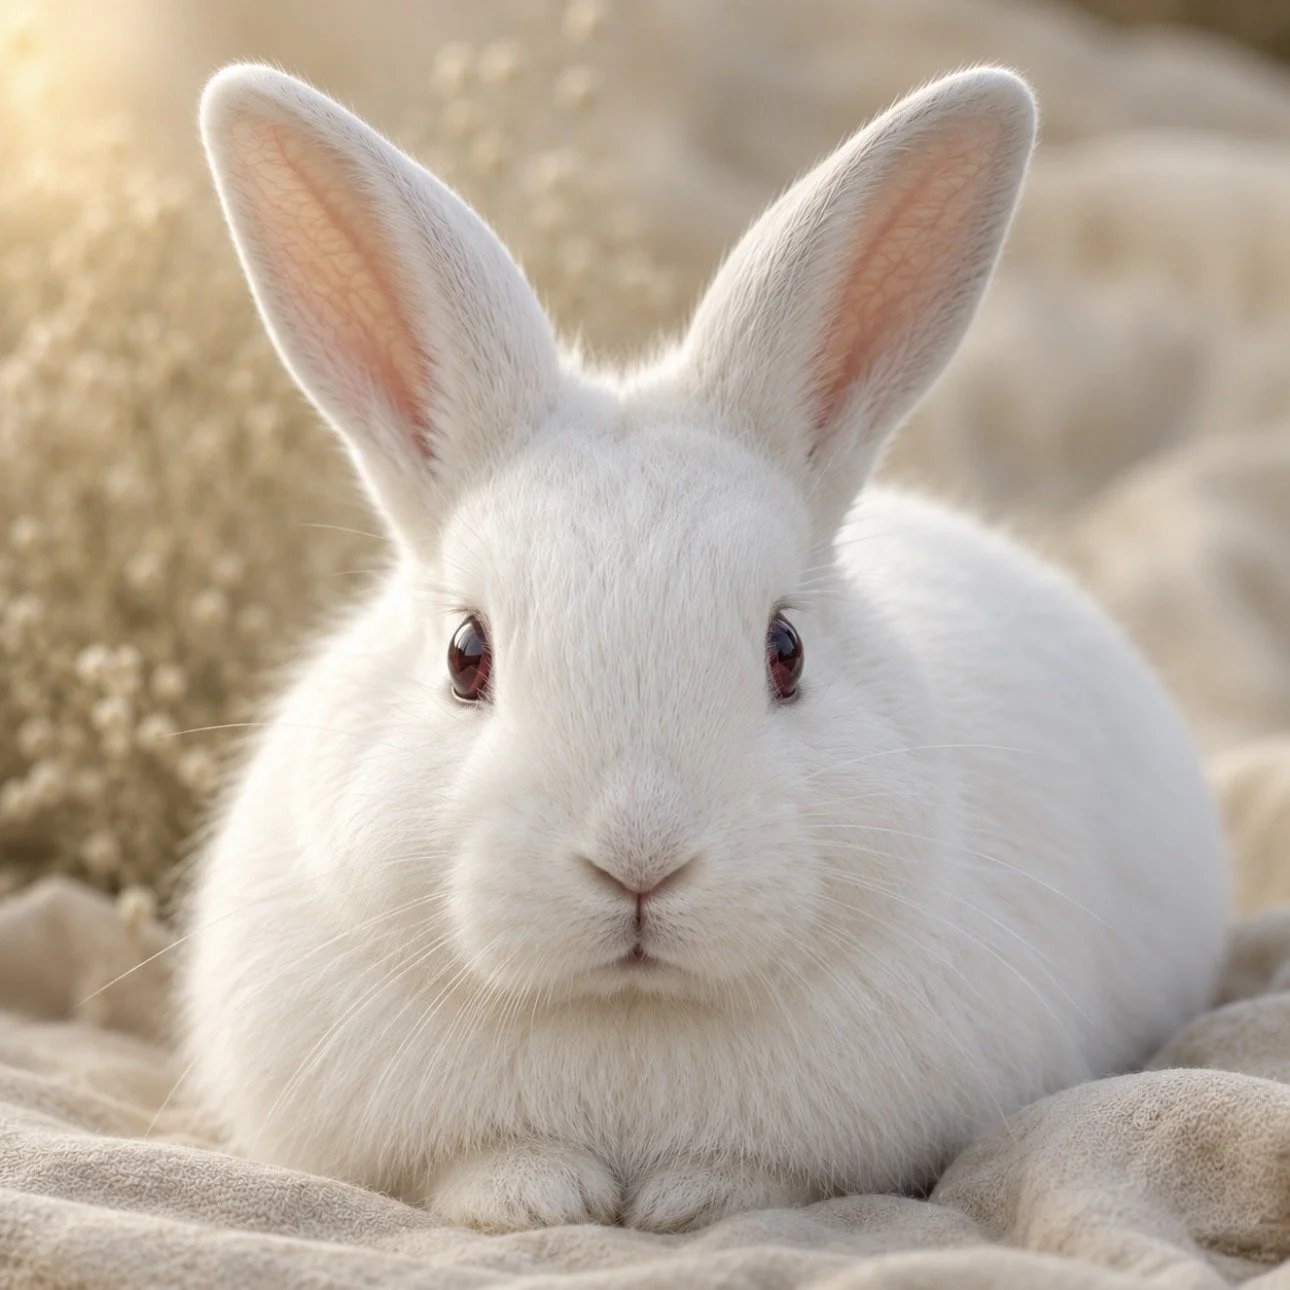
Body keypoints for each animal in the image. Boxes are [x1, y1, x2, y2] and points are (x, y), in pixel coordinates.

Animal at [181, 62, 1230, 1234]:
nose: (639, 859)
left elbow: (756, 1178)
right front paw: (535, 1197)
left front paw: (692, 1200)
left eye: (787, 649)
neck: (630, 1018)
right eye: (465, 654)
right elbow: (481, 1165)